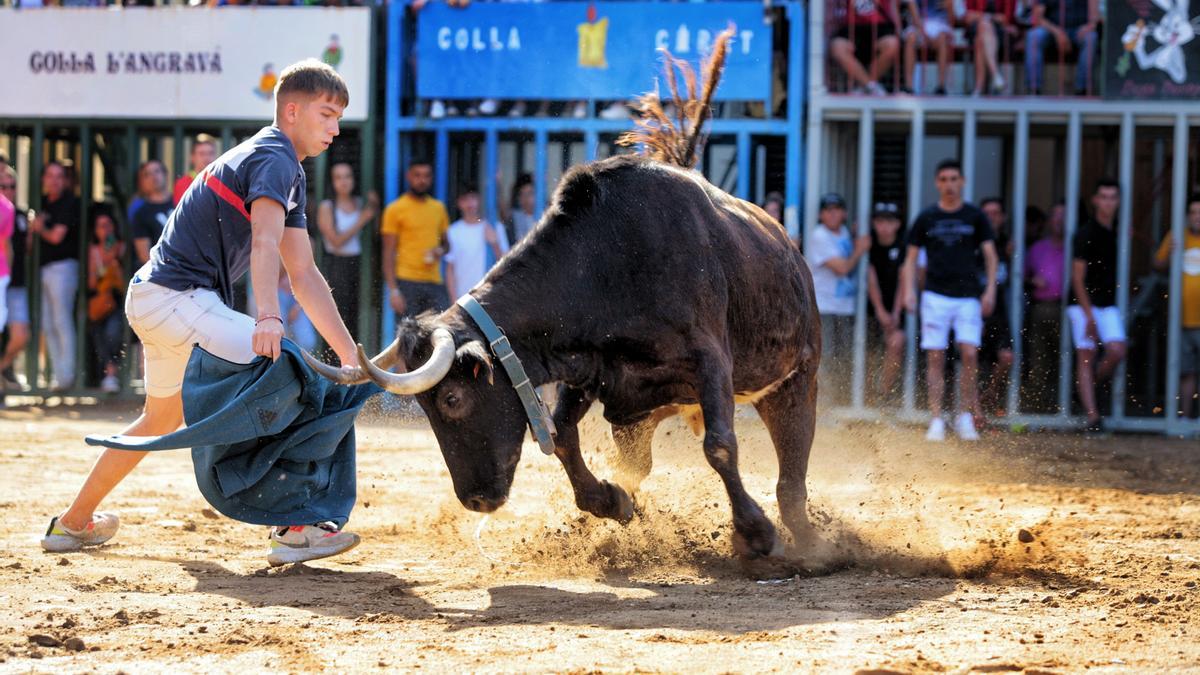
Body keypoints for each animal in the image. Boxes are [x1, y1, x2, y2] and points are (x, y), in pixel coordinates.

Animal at [319, 156, 825, 571]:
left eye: (451, 398)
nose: (475, 500)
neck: (606, 263)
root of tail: (789, 248)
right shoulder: (587, 371)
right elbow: (563, 438)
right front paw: (611, 500)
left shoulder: (710, 362)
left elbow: (719, 446)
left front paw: (756, 532)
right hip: (637, 418)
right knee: (639, 463)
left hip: (795, 381)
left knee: (791, 476)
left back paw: (808, 542)